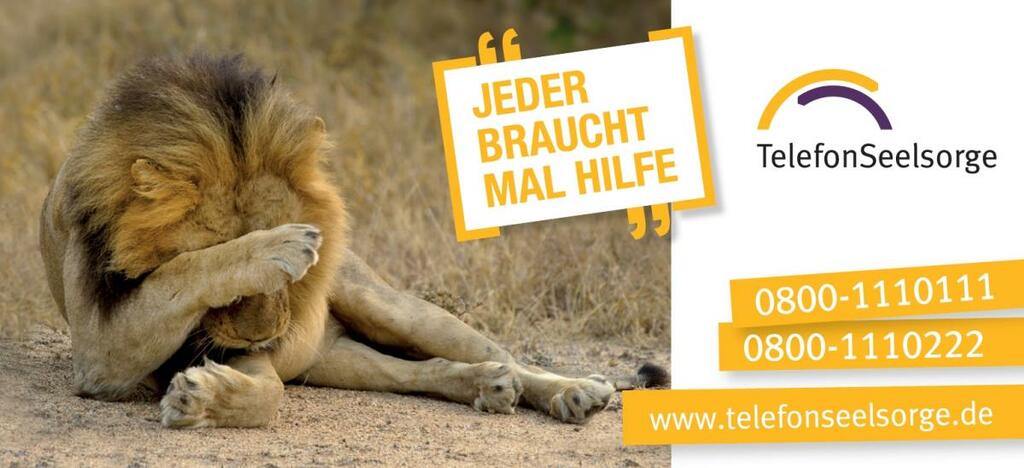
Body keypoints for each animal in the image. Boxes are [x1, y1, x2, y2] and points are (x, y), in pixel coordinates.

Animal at [38, 54, 667, 429]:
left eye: (299, 275)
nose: (267, 335)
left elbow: (268, 392)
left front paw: (199, 398)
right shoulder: (100, 350)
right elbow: (187, 277)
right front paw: (202, 395)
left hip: (391, 306)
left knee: (501, 353)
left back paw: (574, 391)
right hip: (338, 359)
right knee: (418, 373)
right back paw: (488, 387)